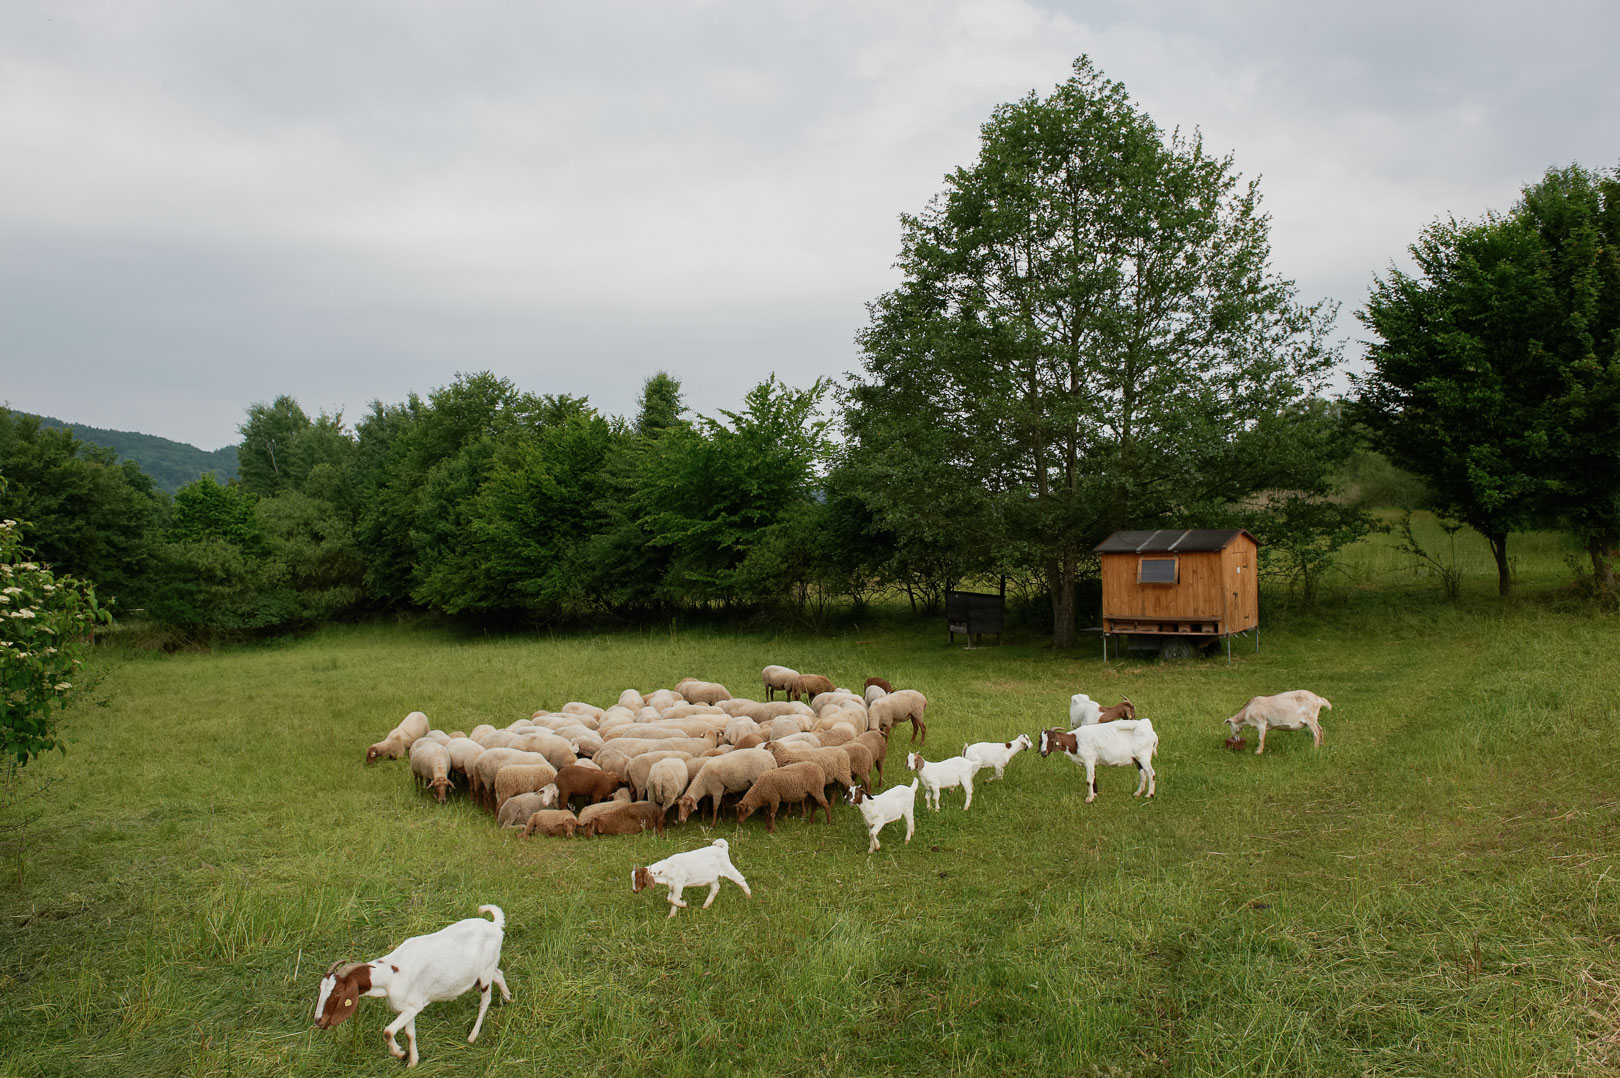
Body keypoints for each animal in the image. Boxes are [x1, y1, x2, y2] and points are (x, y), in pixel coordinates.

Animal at [312, 901, 508, 1069]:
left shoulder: (414, 1006)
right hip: (483, 973)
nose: (318, 1020)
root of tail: (495, 926)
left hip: (485, 974)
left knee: (485, 1000)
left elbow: (388, 1032)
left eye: (339, 991)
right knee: (499, 975)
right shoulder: (409, 1007)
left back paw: (472, 1036)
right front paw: (413, 1062)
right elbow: (409, 1034)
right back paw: (508, 998)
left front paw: (400, 1054)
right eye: (321, 989)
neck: (391, 975)